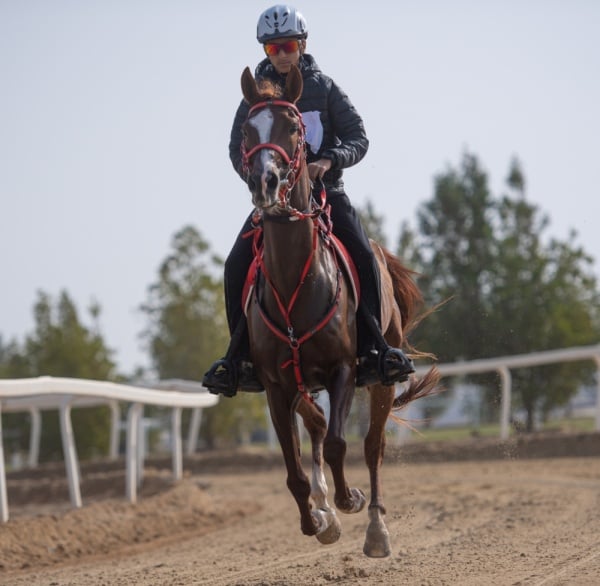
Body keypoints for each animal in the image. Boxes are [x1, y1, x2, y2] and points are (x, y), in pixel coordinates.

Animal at [239, 65, 440, 556]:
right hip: (300, 383)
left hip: (382, 377)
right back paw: (325, 507)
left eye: (293, 127)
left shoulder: (343, 370)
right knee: (314, 427)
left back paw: (375, 529)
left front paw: (350, 500)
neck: (294, 279)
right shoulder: (275, 384)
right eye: (247, 130)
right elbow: (293, 467)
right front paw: (316, 518)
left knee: (372, 445)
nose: (265, 182)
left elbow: (337, 444)